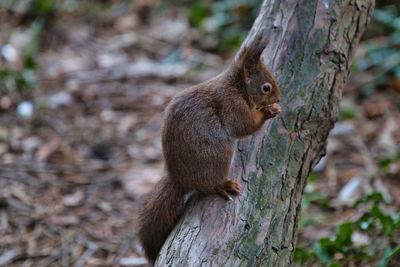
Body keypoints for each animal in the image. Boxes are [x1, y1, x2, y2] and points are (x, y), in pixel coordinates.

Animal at [136, 34, 280, 264]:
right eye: (266, 87)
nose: (279, 98)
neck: (237, 86)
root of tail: (181, 179)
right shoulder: (231, 105)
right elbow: (243, 126)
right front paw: (268, 111)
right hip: (219, 155)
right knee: (208, 185)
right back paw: (223, 186)